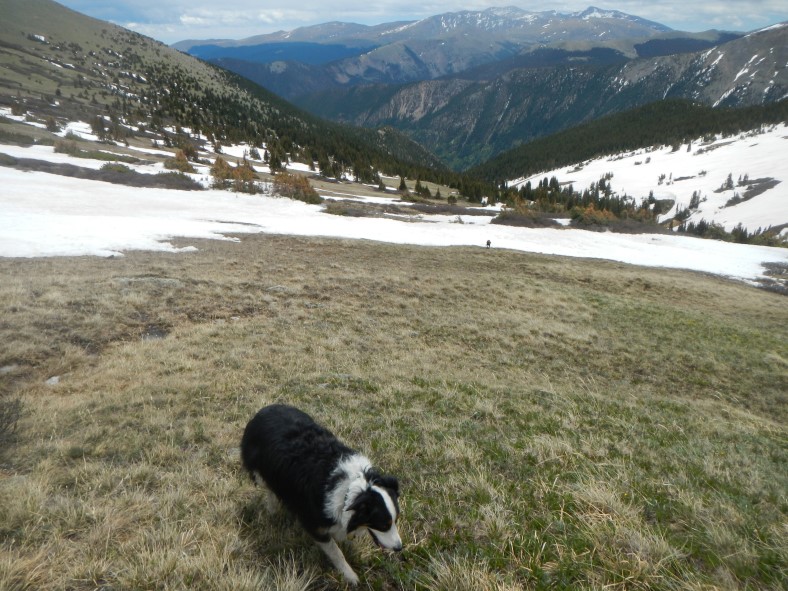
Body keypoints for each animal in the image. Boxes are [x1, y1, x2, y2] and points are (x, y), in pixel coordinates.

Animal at [239, 404, 400, 584]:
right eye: (384, 525)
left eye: (396, 520)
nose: (399, 548)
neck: (352, 489)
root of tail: (265, 409)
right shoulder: (315, 525)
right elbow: (336, 552)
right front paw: (350, 575)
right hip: (259, 472)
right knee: (269, 488)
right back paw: (272, 509)